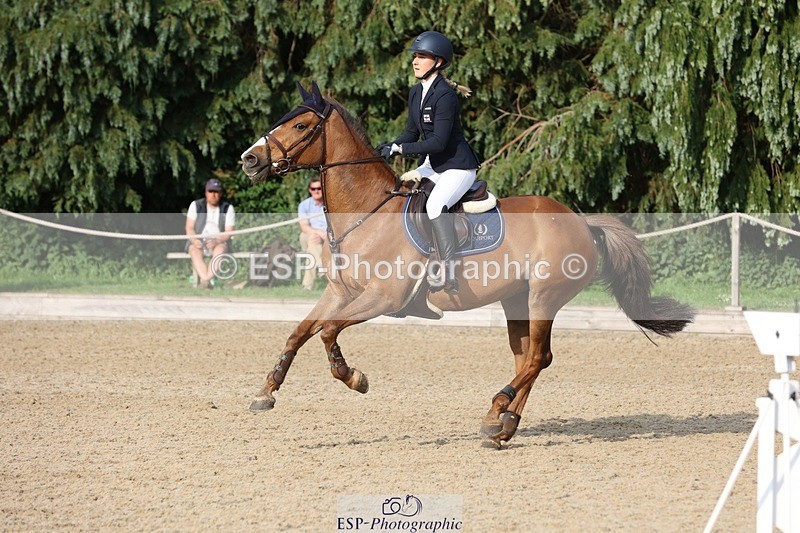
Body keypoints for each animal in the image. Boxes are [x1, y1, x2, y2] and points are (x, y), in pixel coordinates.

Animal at [240, 82, 694, 447]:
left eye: (301, 126)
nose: (249, 160)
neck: (368, 211)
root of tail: (581, 221)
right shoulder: (340, 293)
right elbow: (300, 332)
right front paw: (266, 392)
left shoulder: (384, 298)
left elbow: (328, 332)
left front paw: (353, 377)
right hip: (516, 301)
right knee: (528, 358)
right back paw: (503, 426)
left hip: (544, 297)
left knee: (538, 358)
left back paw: (497, 411)